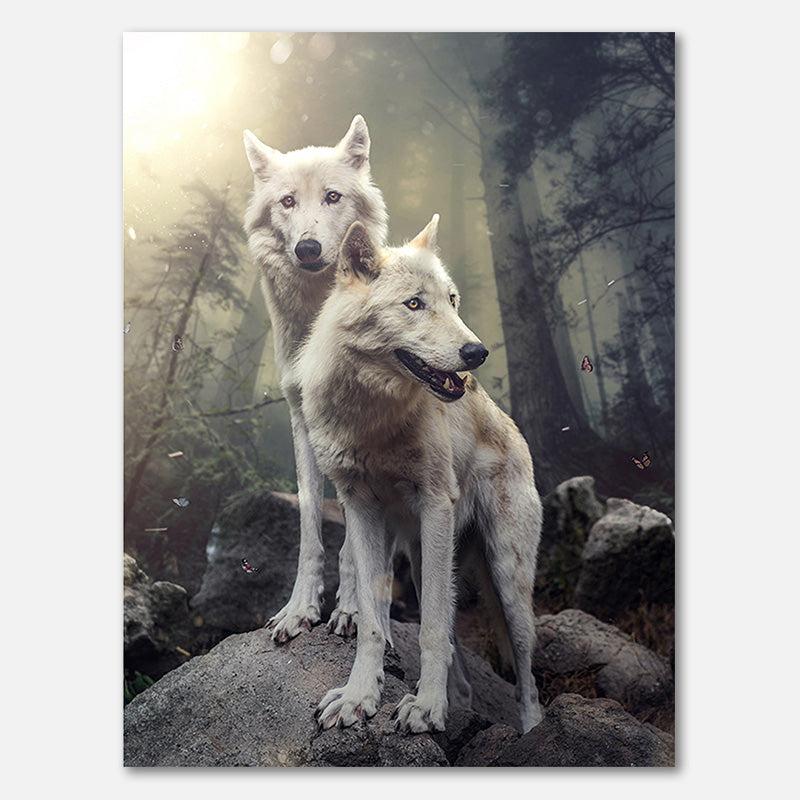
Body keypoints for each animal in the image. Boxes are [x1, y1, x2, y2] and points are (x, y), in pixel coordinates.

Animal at [243, 116, 388, 642]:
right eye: (288, 201)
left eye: (332, 196)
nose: (308, 248)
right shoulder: (301, 421)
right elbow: (309, 526)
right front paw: (299, 609)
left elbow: (355, 540)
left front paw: (352, 609)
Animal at [288, 215, 544, 733]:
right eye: (413, 304)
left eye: (452, 300)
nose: (477, 352)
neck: (372, 418)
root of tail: (512, 428)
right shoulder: (359, 508)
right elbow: (372, 619)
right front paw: (359, 696)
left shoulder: (435, 504)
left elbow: (428, 632)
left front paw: (425, 707)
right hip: (427, 557)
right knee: (456, 654)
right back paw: (458, 702)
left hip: (507, 581)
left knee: (525, 674)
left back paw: (531, 730)